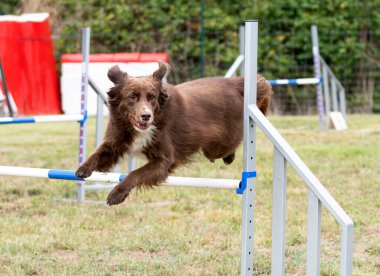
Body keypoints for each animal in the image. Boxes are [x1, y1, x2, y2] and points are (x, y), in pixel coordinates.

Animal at [75, 62, 270, 205]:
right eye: (132, 97)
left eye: (152, 97)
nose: (146, 116)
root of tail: (234, 82)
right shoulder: (116, 141)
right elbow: (98, 154)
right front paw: (82, 169)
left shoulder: (164, 161)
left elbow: (134, 174)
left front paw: (116, 194)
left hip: (218, 143)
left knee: (227, 148)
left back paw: (229, 157)